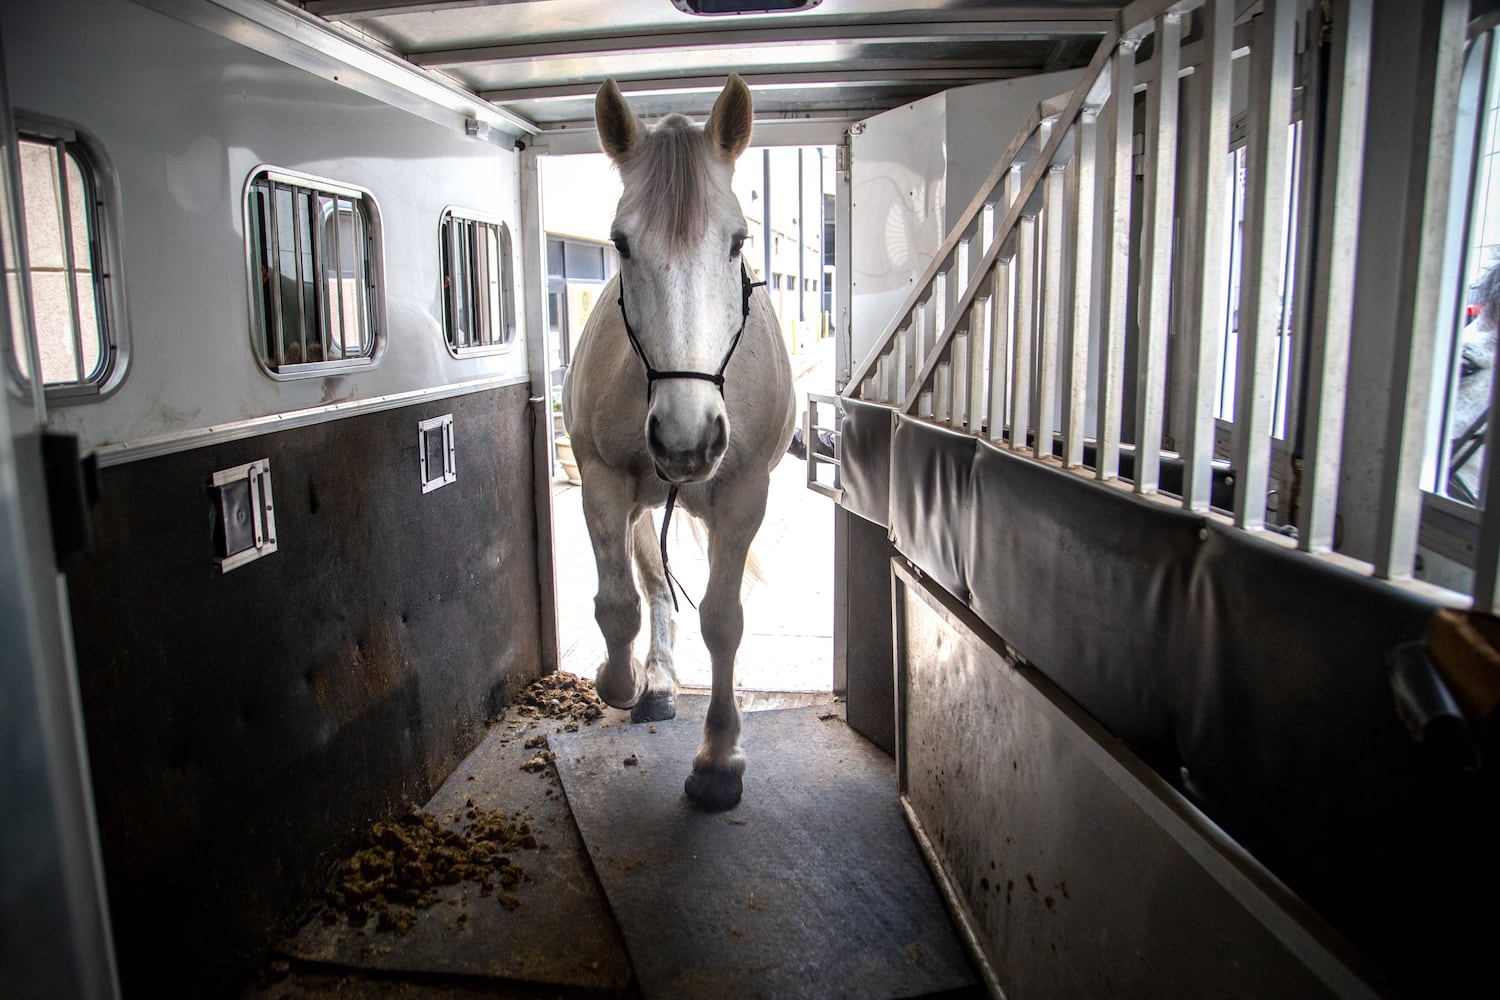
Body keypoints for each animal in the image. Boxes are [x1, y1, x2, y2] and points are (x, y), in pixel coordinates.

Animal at [564, 74, 798, 809]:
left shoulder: (746, 493)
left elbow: (723, 620)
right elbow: (619, 605)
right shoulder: (601, 480)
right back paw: (660, 681)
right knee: (651, 582)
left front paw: (720, 759)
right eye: (620, 243)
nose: (687, 439)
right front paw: (622, 681)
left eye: (737, 241)